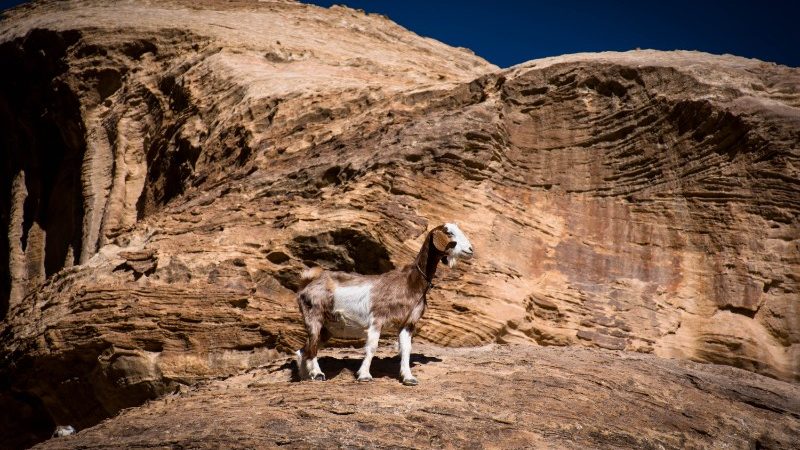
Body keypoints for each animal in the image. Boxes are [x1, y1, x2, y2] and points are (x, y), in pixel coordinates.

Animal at [296, 223, 472, 384]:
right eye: (449, 232)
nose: (470, 250)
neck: (410, 282)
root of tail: (308, 283)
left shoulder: (408, 323)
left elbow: (406, 349)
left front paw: (408, 377)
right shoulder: (377, 318)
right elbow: (372, 346)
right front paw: (364, 375)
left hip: (328, 327)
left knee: (305, 349)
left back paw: (306, 375)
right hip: (314, 316)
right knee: (312, 346)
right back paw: (318, 374)